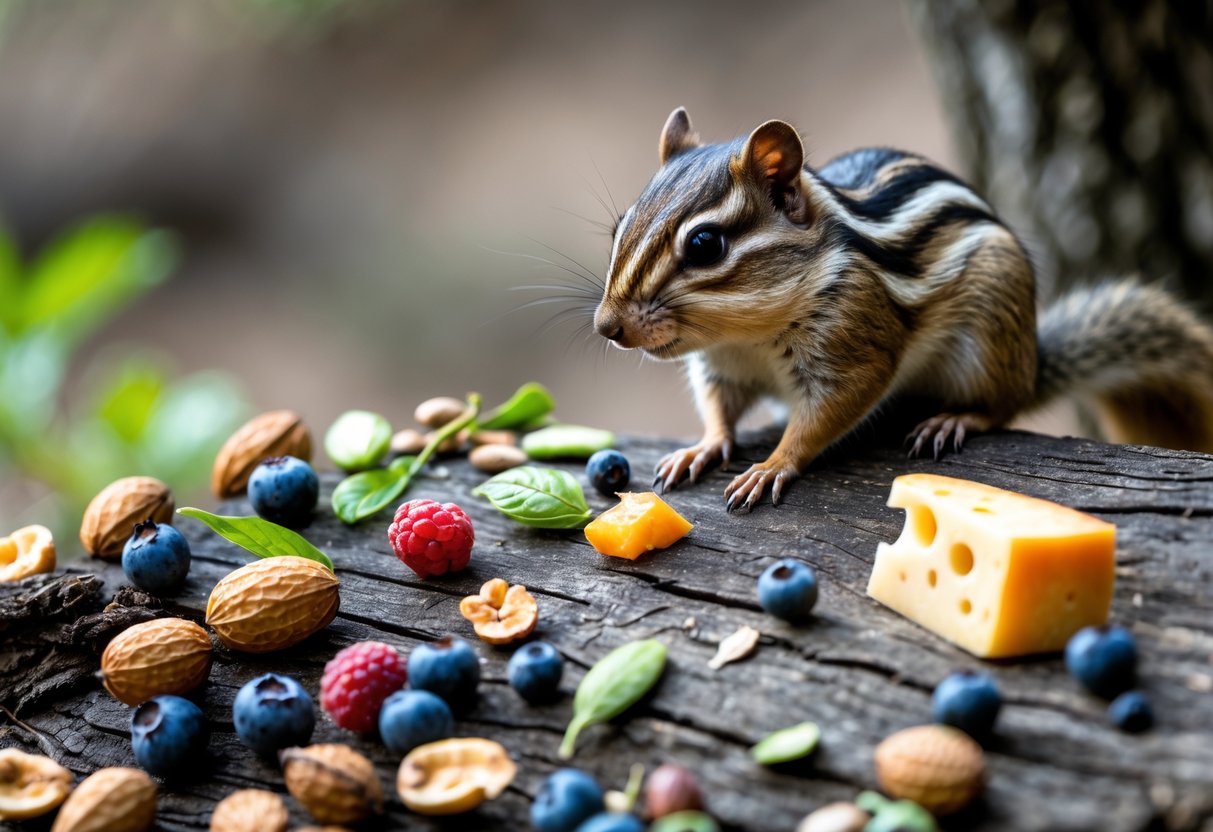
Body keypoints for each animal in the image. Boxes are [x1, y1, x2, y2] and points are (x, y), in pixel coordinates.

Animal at [592, 107, 1213, 512]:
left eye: (705, 245)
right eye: (620, 226)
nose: (606, 326)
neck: (748, 333)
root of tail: (1031, 362)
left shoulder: (854, 345)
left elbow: (824, 416)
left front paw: (770, 466)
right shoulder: (721, 367)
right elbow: (719, 409)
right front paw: (701, 447)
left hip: (989, 338)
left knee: (1004, 405)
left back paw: (954, 419)